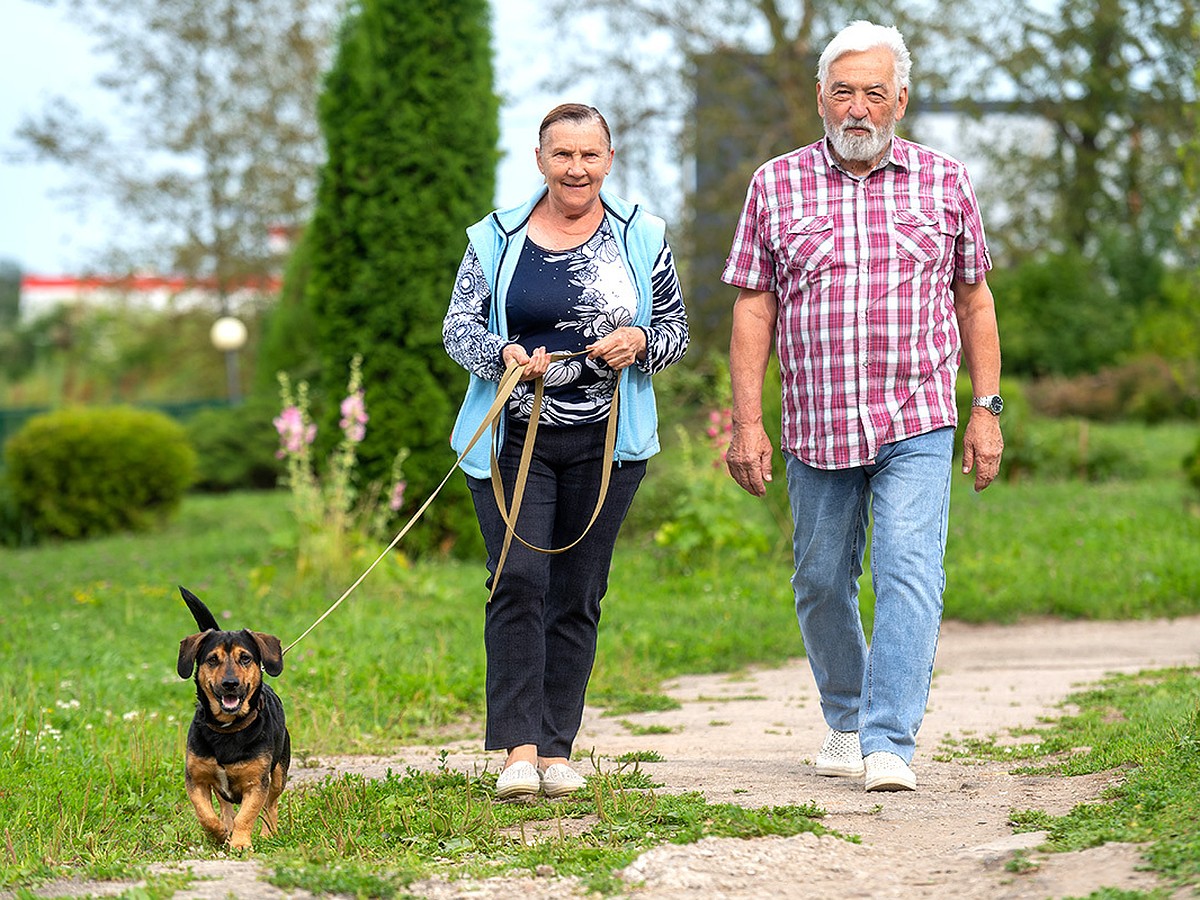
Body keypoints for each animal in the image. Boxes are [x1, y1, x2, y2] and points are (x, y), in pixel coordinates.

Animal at [175, 585, 290, 854]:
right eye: (212, 659)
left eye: (245, 658)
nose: (230, 683)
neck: (228, 728)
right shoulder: (196, 779)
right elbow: (206, 814)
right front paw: (219, 833)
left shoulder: (257, 783)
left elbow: (247, 815)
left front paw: (240, 843)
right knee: (225, 804)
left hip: (279, 774)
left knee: (271, 805)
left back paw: (268, 833)